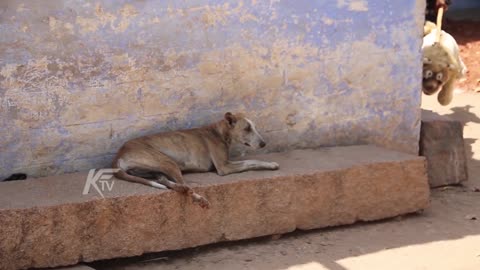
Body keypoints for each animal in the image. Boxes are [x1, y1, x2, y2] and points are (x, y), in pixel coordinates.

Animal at [114, 112, 280, 209]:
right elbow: (250, 161)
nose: (263, 144)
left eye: (254, 127)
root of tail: (118, 155)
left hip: (151, 170)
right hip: (167, 162)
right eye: (247, 129)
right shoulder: (223, 167)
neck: (219, 132)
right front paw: (270, 164)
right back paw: (199, 198)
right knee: (185, 187)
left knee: (168, 182)